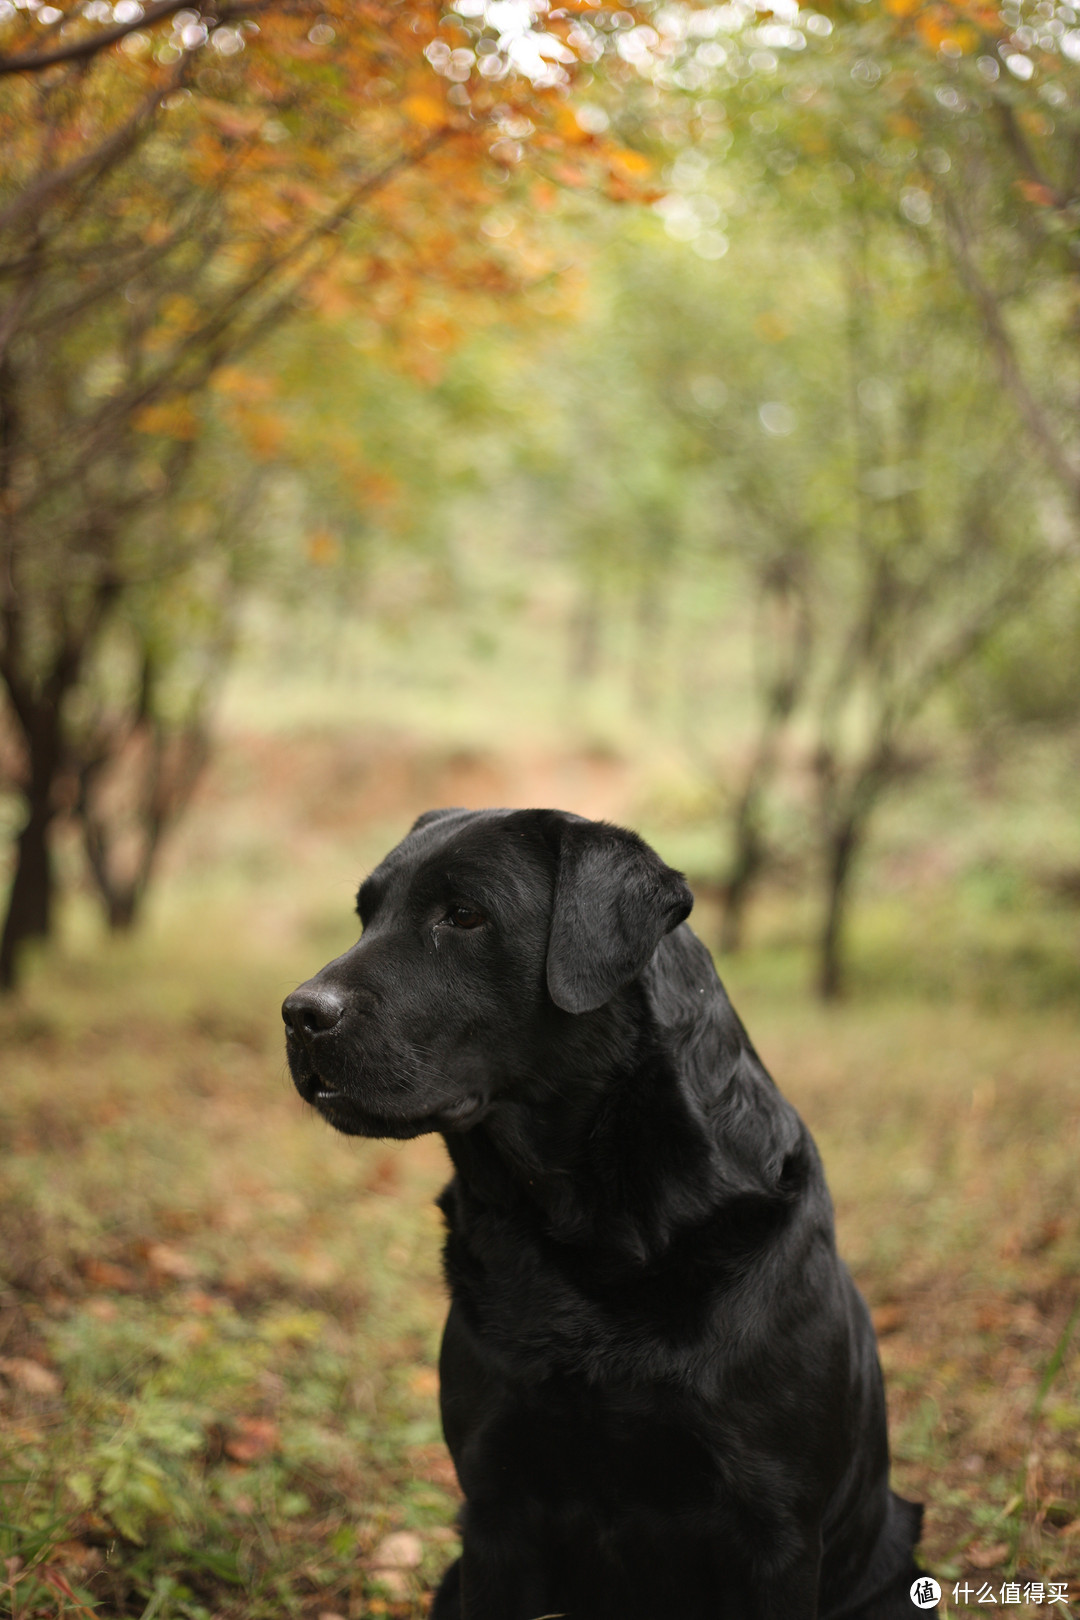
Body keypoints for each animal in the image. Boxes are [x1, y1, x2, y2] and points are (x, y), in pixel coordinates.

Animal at [281, 810, 919, 1620]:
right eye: (366, 914)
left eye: (464, 915)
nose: (299, 1014)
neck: (599, 1231)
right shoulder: (496, 1508)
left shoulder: (777, 1528)